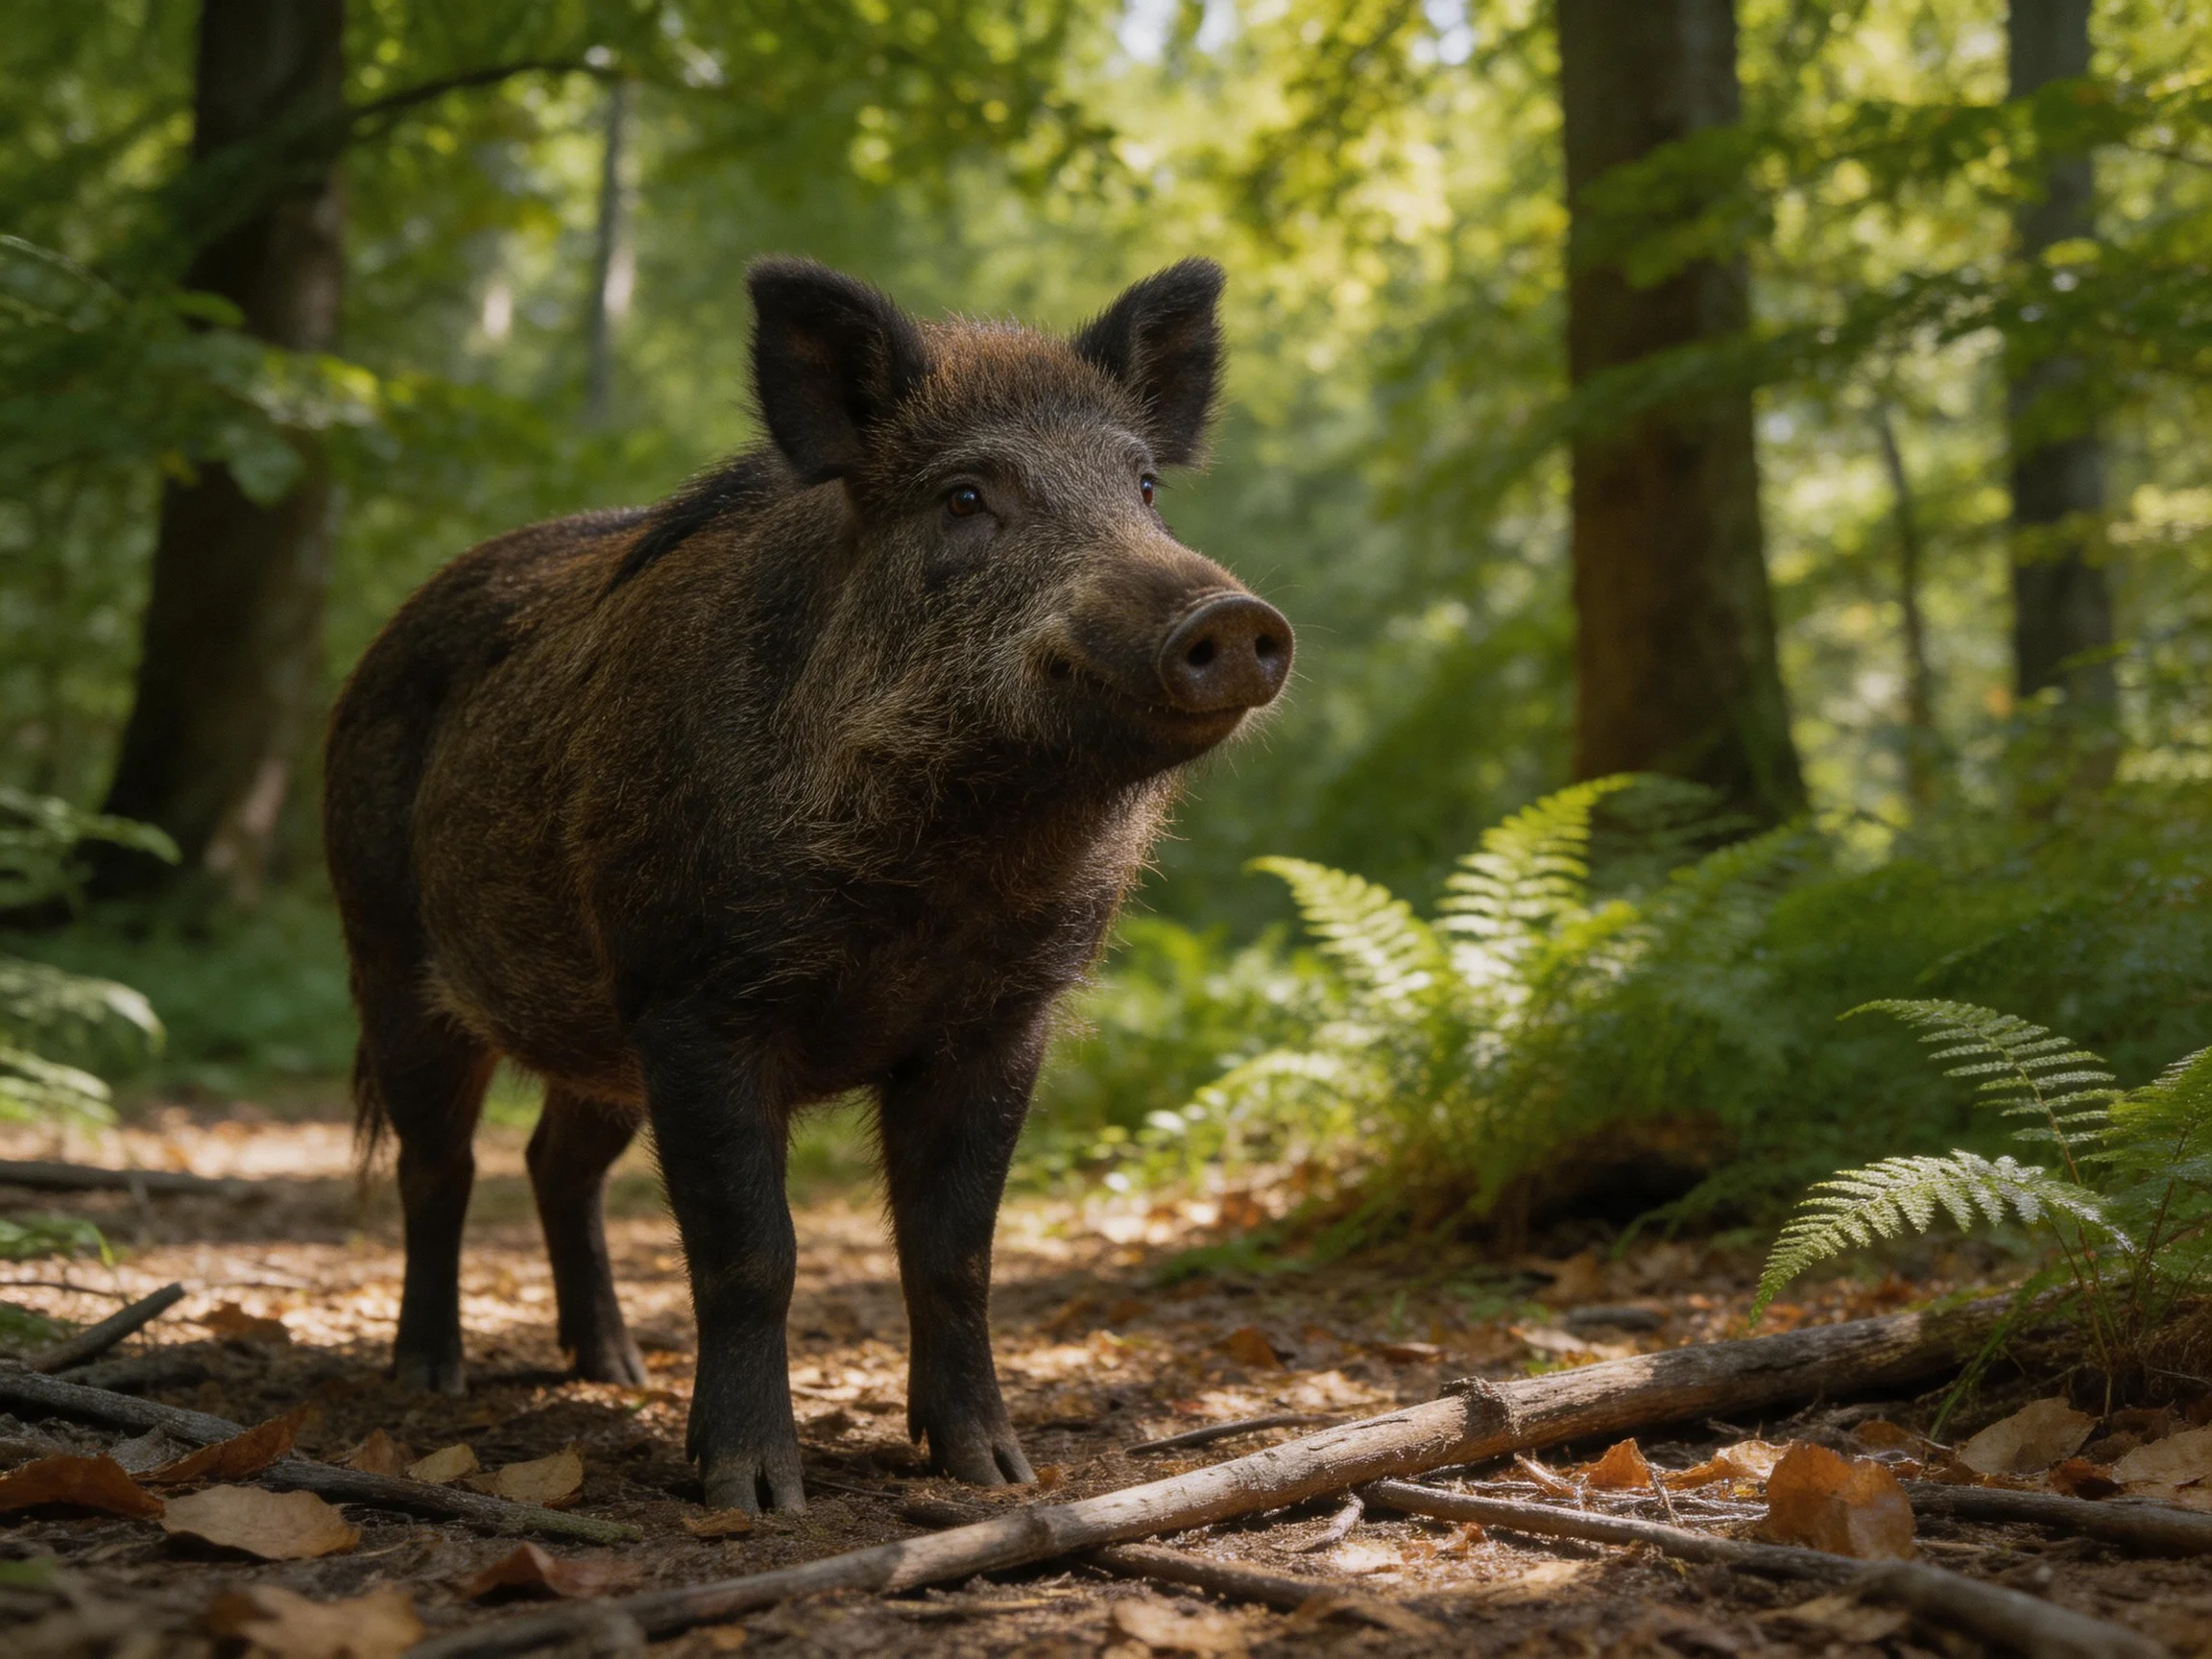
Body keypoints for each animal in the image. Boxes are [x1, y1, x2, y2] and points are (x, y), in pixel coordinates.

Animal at [323, 256, 1291, 1513]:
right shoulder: (695, 994)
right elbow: (751, 1251)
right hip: (390, 955)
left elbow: (954, 1250)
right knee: (440, 1166)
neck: (945, 873)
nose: (1232, 615)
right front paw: (753, 1495)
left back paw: (614, 1372)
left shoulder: (1003, 1017)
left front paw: (995, 1475)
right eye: (965, 497)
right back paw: (429, 1378)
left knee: (554, 1165)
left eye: (1143, 486)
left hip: (599, 1041)